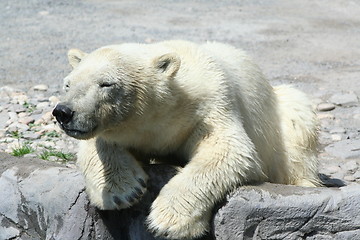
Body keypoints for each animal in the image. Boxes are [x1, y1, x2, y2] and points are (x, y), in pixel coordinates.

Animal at [52, 40, 320, 239]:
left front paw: (167, 220)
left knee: (297, 119)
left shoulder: (211, 106)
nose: (63, 112)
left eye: (106, 83)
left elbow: (228, 149)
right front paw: (123, 190)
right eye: (68, 84)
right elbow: (97, 143)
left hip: (279, 114)